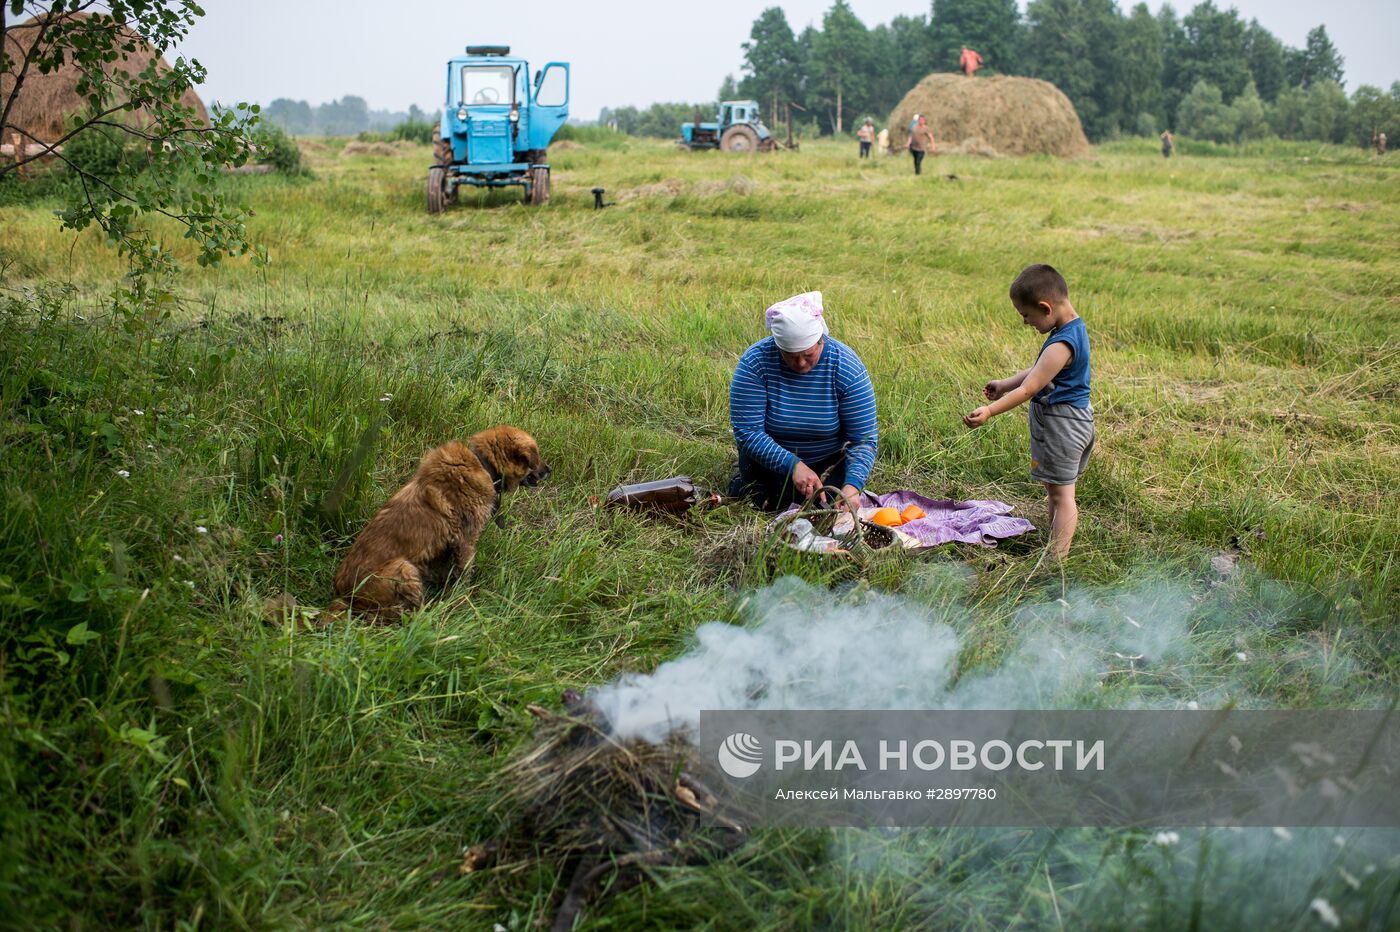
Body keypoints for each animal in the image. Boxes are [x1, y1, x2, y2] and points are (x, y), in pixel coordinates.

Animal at [326, 425, 546, 621]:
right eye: (536, 457)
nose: (549, 470)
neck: (483, 463)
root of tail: (343, 595)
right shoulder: (466, 541)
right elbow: (463, 574)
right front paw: (461, 599)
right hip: (404, 569)